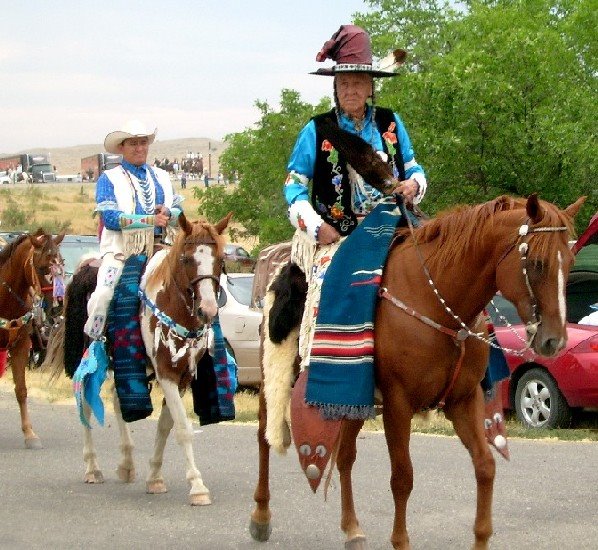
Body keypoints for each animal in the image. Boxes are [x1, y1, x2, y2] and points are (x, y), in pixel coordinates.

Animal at [0, 229, 63, 448]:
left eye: (62, 263)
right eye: (43, 268)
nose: (58, 306)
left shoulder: (21, 346)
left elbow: (21, 390)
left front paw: (30, 434)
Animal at [55, 213, 232, 506]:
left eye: (219, 259)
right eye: (186, 259)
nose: (207, 309)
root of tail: (84, 269)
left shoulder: (181, 377)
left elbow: (165, 426)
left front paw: (155, 478)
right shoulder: (165, 372)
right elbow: (182, 428)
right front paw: (197, 486)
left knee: (117, 399)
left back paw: (127, 463)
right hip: (89, 356)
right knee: (86, 401)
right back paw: (92, 467)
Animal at [252, 195, 584, 550]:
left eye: (570, 261)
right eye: (536, 262)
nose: (554, 341)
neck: (437, 302)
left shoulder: (463, 399)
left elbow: (485, 466)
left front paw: (481, 537)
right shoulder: (398, 405)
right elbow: (402, 477)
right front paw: (400, 540)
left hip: (353, 398)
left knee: (345, 457)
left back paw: (352, 529)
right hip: (274, 378)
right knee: (264, 437)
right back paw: (260, 516)